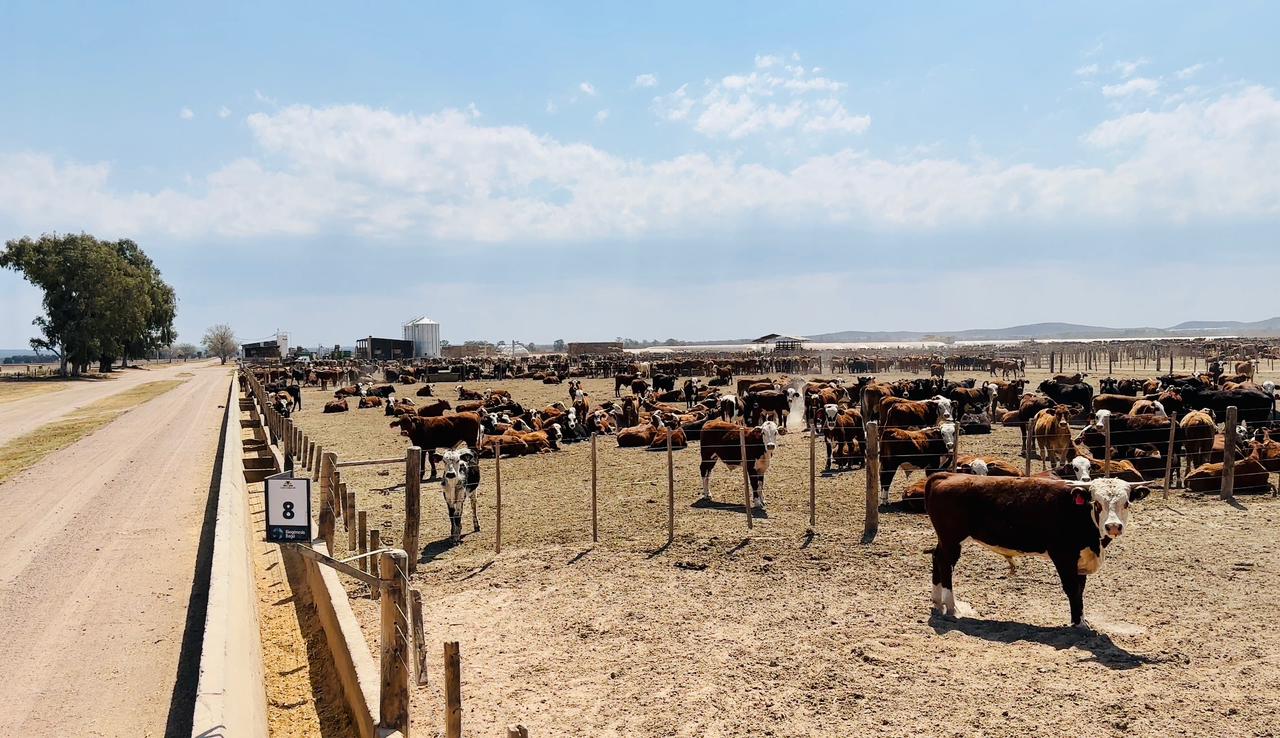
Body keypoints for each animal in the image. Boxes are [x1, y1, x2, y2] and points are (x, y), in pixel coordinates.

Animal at [921, 470, 1152, 626]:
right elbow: (1072, 589)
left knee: (936, 557)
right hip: (952, 540)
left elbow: (1080, 590)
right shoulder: (1063, 556)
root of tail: (947, 475)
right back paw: (952, 607)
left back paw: (937, 602)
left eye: (1126, 503)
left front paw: (1081, 619)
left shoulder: (1080, 559)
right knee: (946, 564)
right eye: (1096, 503)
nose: (1113, 526)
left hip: (945, 540)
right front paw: (1079, 624)